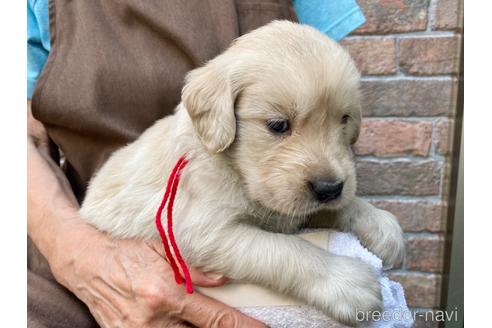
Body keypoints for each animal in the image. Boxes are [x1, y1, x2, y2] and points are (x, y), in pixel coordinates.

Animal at [80, 20, 404, 326]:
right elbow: (286, 250)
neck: (237, 171)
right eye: (278, 125)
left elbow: (341, 207)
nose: (329, 188)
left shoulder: (294, 210)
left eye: (344, 119)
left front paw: (382, 226)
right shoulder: (204, 232)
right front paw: (345, 282)